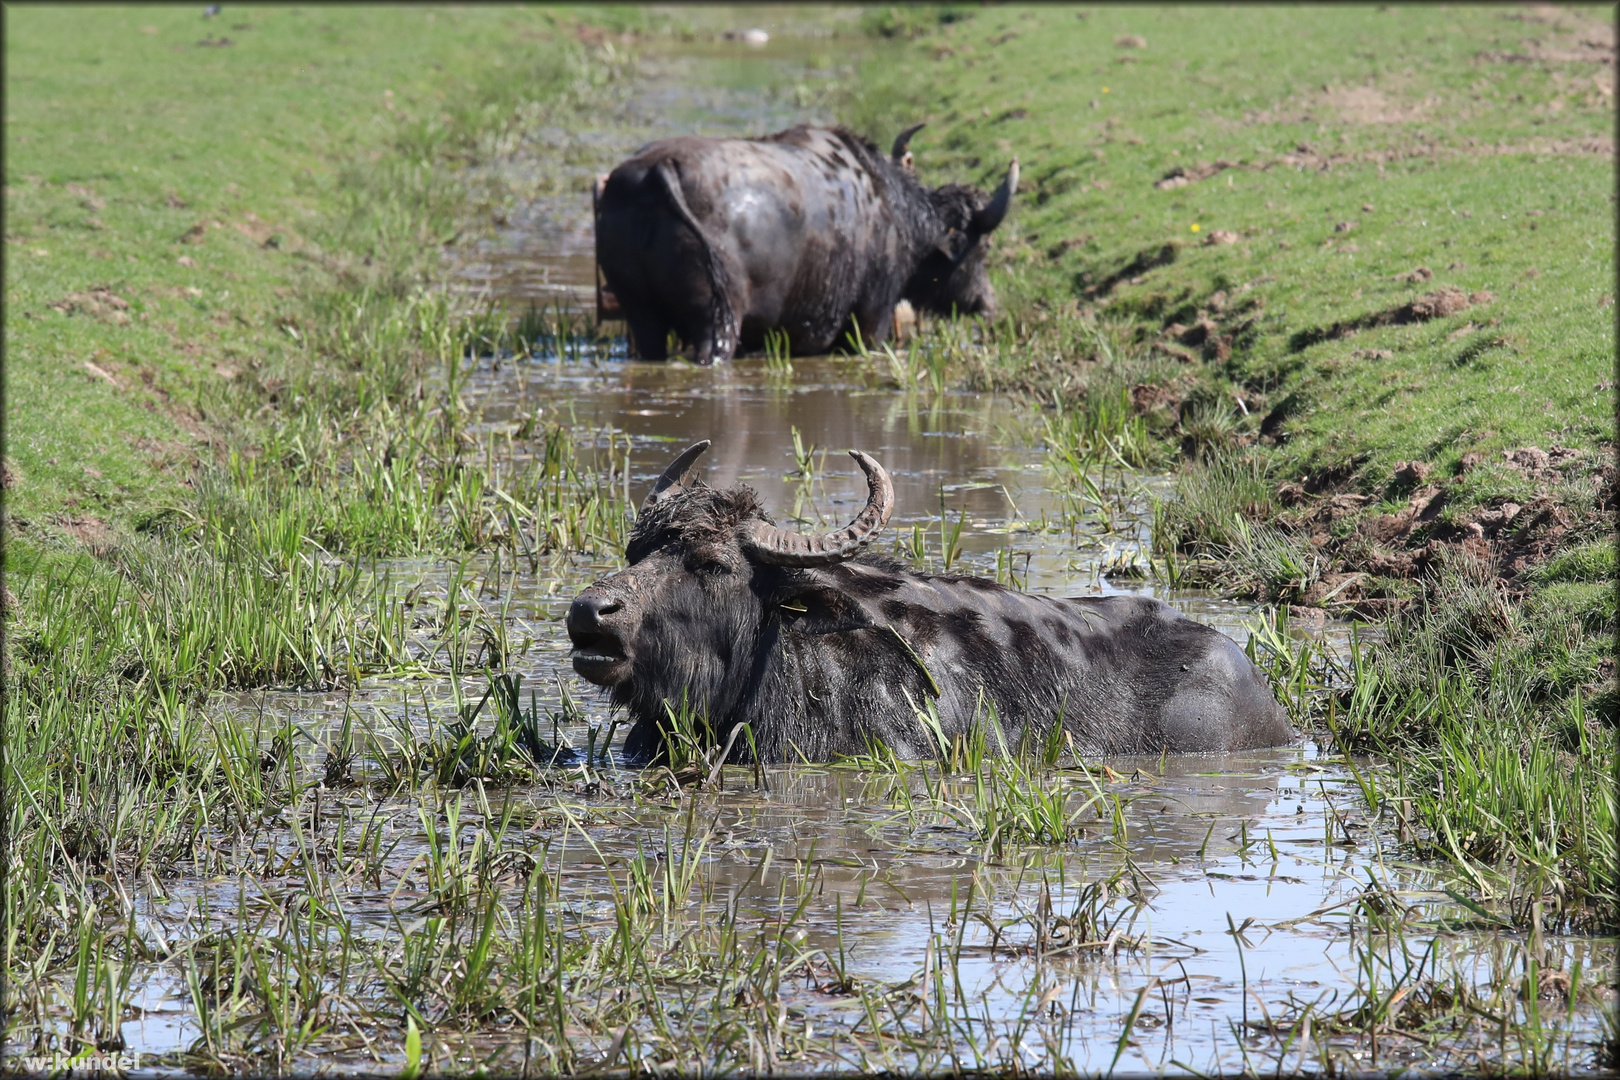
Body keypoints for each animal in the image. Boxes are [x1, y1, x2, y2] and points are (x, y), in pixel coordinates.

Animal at [596, 124, 1017, 365]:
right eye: (982, 248)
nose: (988, 304)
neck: (892, 210)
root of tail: (657, 170)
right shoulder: (871, 319)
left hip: (641, 314)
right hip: (715, 322)